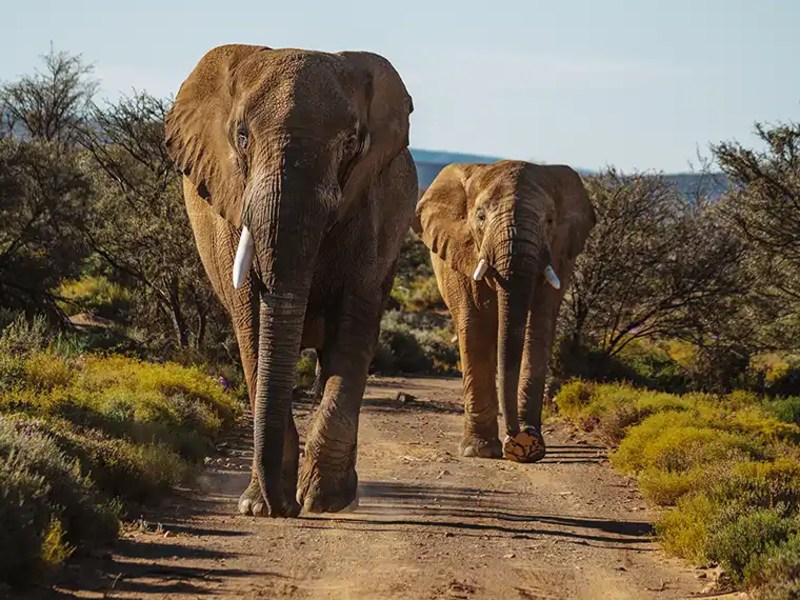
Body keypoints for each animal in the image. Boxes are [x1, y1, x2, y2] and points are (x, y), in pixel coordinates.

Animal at [164, 44, 417, 517]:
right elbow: (252, 326)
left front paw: (325, 501)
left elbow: (354, 327)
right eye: (242, 136)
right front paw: (256, 507)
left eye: (351, 143)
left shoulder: (369, 205)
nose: (287, 507)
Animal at [414, 160, 595, 462]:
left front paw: (532, 446)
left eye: (549, 221)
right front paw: (479, 451)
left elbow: (538, 327)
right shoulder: (461, 255)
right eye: (480, 217)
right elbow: (473, 326)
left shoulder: (559, 255)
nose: (518, 439)